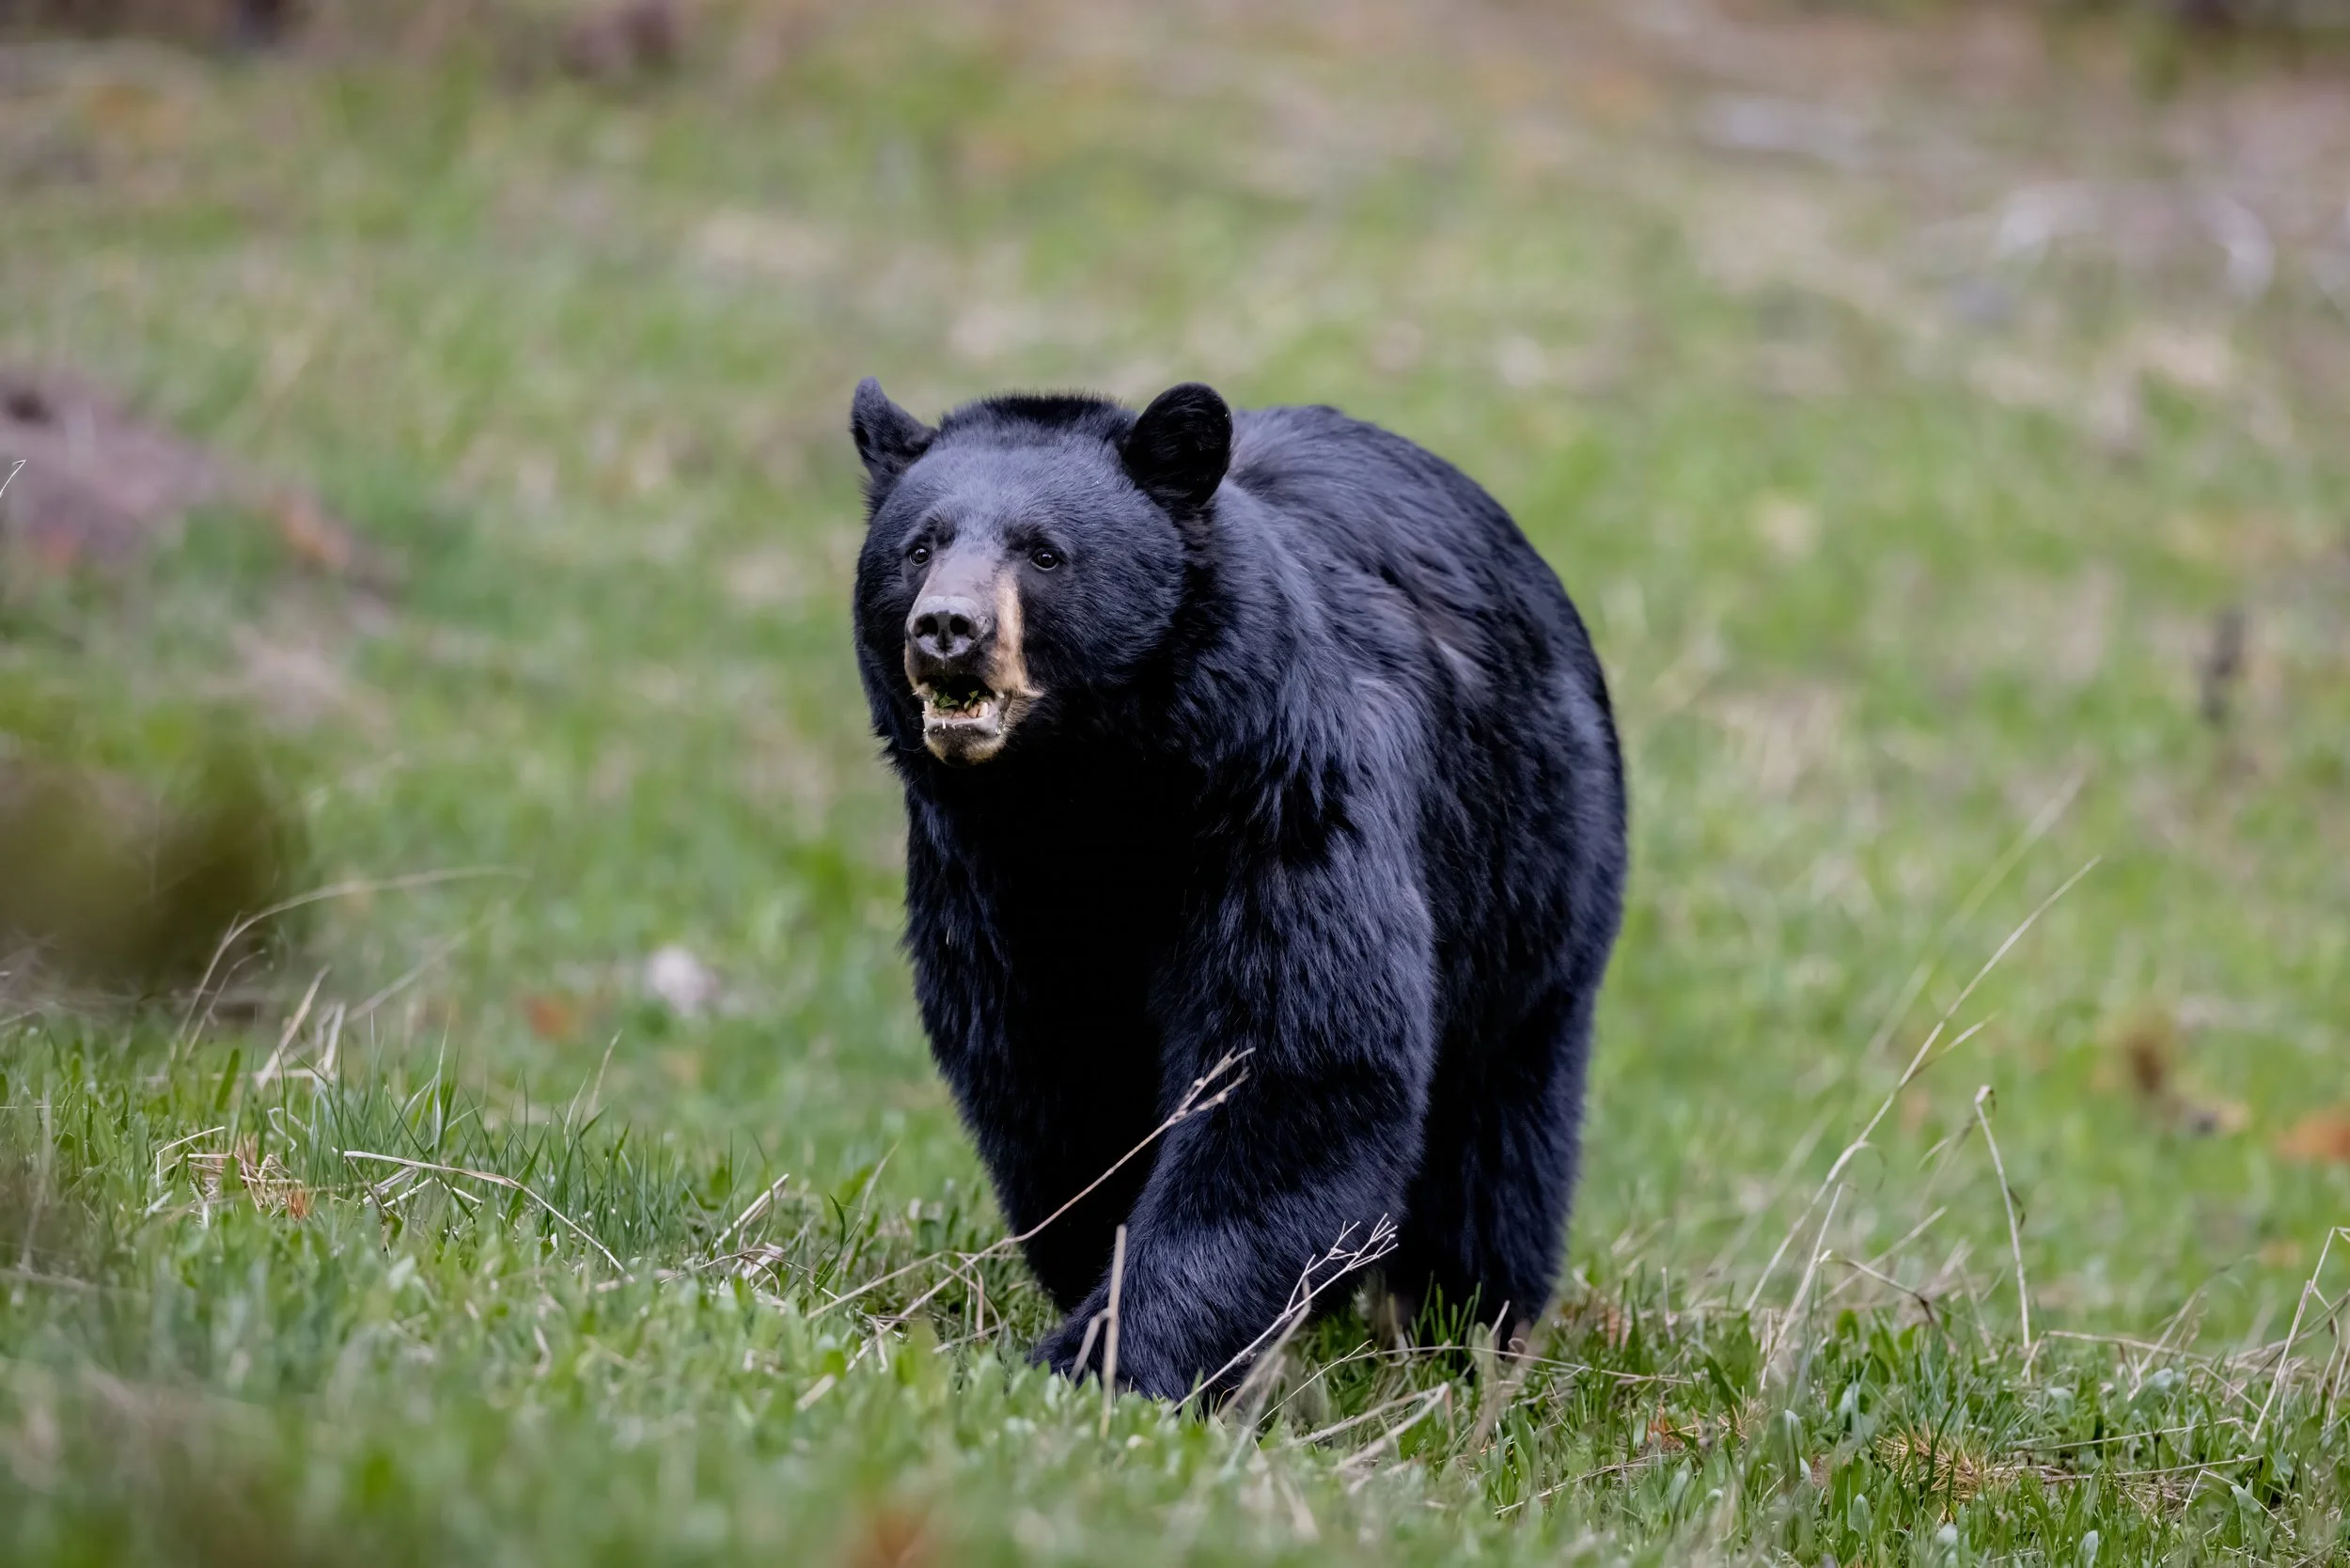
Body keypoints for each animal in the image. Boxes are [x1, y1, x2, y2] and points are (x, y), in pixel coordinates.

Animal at [849, 378, 1626, 1400]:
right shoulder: (987, 882)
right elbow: (1050, 1076)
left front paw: (1103, 1361)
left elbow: (1298, 1069)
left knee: (1498, 1148)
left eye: (1045, 551)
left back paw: (1465, 1336)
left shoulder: (1284, 798)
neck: (1088, 796)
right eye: (920, 545)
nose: (947, 627)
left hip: (1537, 886)